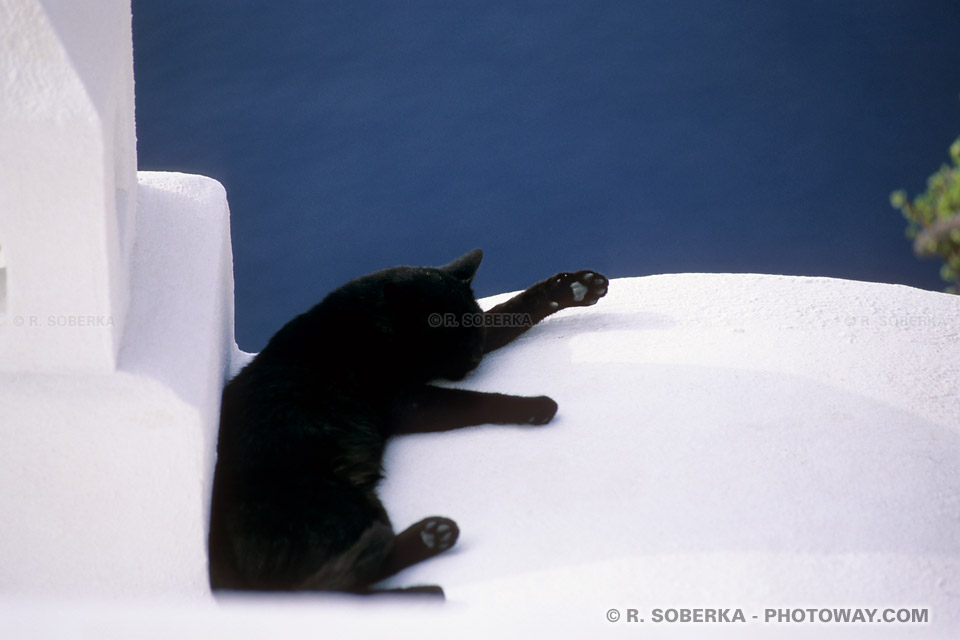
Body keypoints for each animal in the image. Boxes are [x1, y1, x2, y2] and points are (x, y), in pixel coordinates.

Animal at [208, 249, 608, 596]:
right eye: (446, 333)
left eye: (471, 328)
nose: (475, 358)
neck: (365, 325)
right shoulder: (409, 401)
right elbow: (475, 402)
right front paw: (535, 406)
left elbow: (512, 310)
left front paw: (575, 288)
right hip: (336, 501)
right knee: (326, 589)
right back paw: (432, 555)